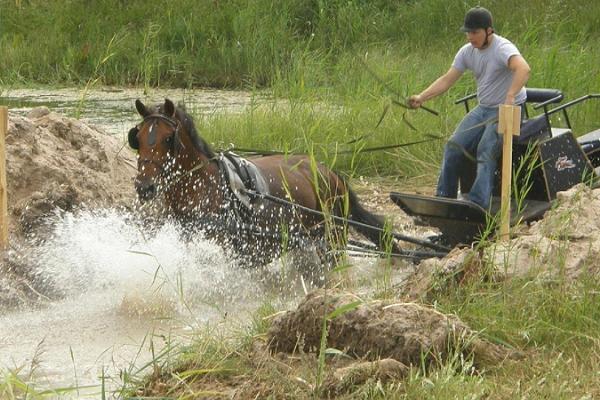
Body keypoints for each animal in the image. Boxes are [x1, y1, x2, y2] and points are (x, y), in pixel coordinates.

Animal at [127, 98, 398, 264]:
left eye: (168, 139)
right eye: (137, 138)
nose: (145, 186)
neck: (203, 187)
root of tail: (330, 173)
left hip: (333, 242)